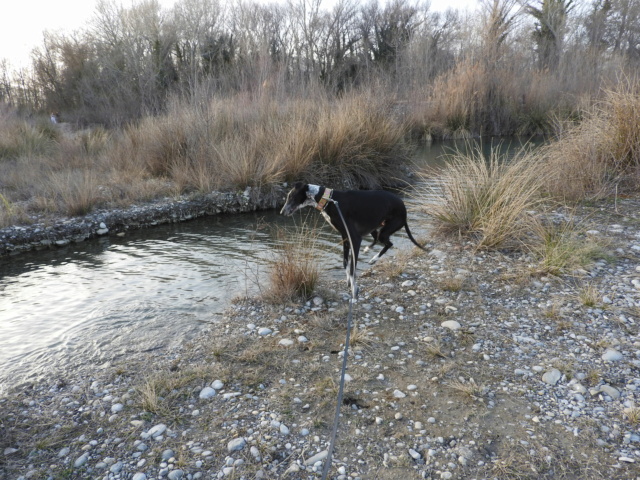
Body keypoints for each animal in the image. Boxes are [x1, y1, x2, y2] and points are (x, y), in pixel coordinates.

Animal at [278, 182, 424, 286]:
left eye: (291, 197)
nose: (281, 212)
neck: (329, 200)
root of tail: (404, 209)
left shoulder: (355, 238)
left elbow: (353, 264)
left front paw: (353, 283)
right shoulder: (345, 236)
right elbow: (345, 262)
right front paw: (348, 279)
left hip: (386, 229)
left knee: (389, 243)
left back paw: (373, 259)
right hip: (374, 227)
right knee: (378, 239)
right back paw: (368, 250)